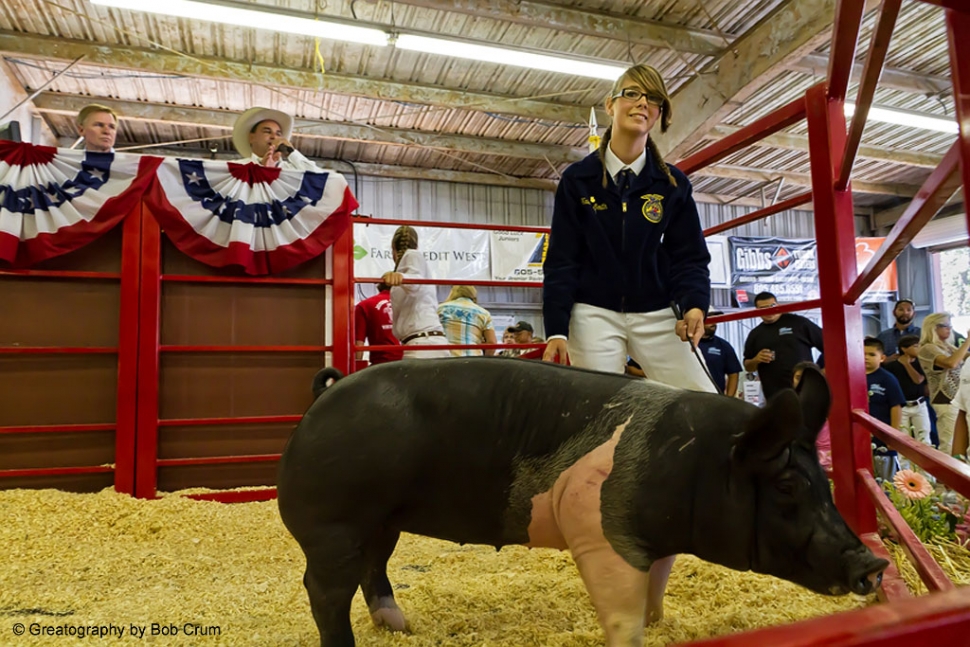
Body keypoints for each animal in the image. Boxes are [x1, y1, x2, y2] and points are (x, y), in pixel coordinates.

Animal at [274, 360, 884, 647]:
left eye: (823, 481)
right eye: (785, 487)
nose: (874, 563)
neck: (690, 462)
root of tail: (325, 394)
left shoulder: (653, 539)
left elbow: (654, 590)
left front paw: (658, 618)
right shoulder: (599, 532)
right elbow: (620, 614)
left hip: (382, 520)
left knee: (372, 567)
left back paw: (399, 625)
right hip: (333, 522)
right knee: (322, 589)